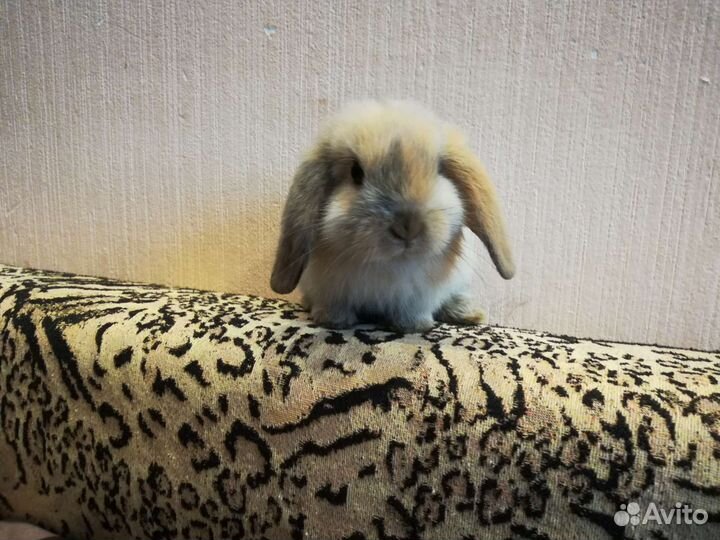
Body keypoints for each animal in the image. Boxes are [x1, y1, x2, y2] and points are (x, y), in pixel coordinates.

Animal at [270, 99, 515, 333]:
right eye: (356, 172)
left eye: (438, 170)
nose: (408, 227)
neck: (390, 264)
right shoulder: (328, 289)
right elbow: (334, 306)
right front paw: (333, 321)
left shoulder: (419, 295)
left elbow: (412, 312)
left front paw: (413, 326)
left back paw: (471, 314)